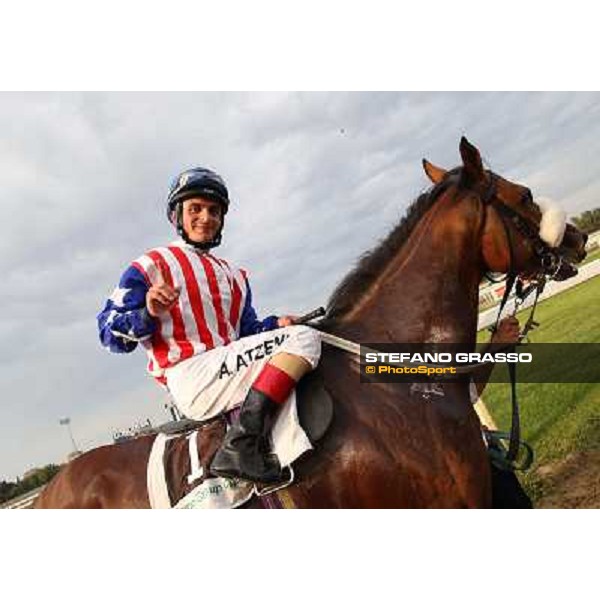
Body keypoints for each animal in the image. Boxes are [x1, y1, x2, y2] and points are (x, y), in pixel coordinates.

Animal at [34, 138, 584, 508]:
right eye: (525, 194)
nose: (578, 237)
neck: (395, 384)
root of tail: (46, 494)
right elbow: (112, 321)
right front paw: (150, 302)